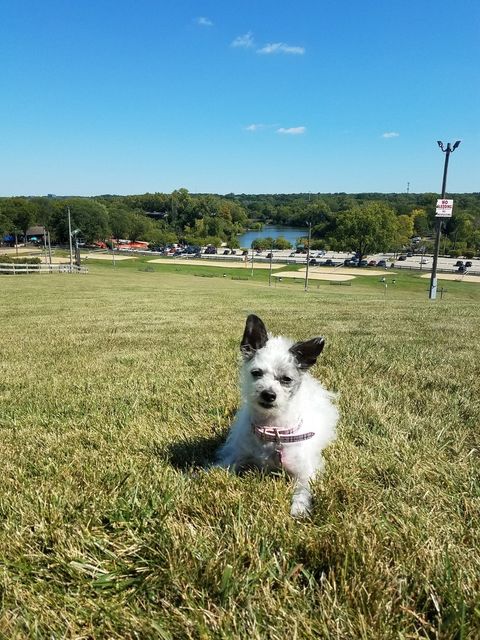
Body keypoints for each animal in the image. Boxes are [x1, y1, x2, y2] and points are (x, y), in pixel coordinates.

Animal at [218, 316, 338, 520]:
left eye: (286, 379)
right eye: (256, 373)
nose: (268, 394)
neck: (272, 430)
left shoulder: (305, 472)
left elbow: (303, 490)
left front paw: (299, 507)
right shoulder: (236, 456)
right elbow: (218, 468)